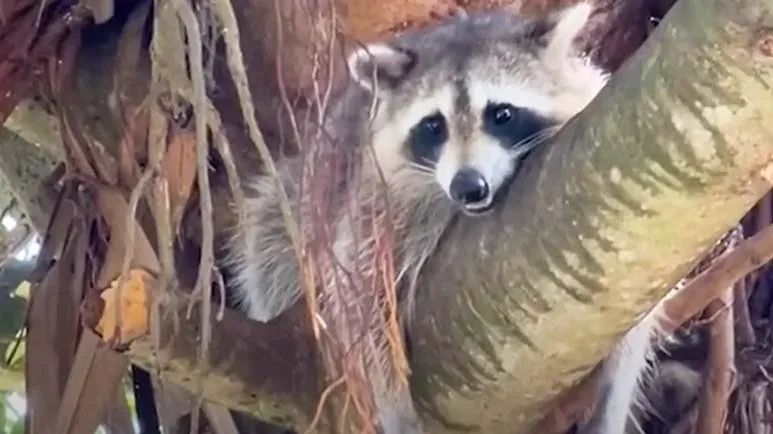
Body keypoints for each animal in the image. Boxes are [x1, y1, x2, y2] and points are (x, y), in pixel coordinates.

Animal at [225, 3, 608, 433]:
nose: (467, 186)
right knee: (271, 236)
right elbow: (357, 289)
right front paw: (394, 402)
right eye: (433, 125)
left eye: (502, 114)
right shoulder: (376, 196)